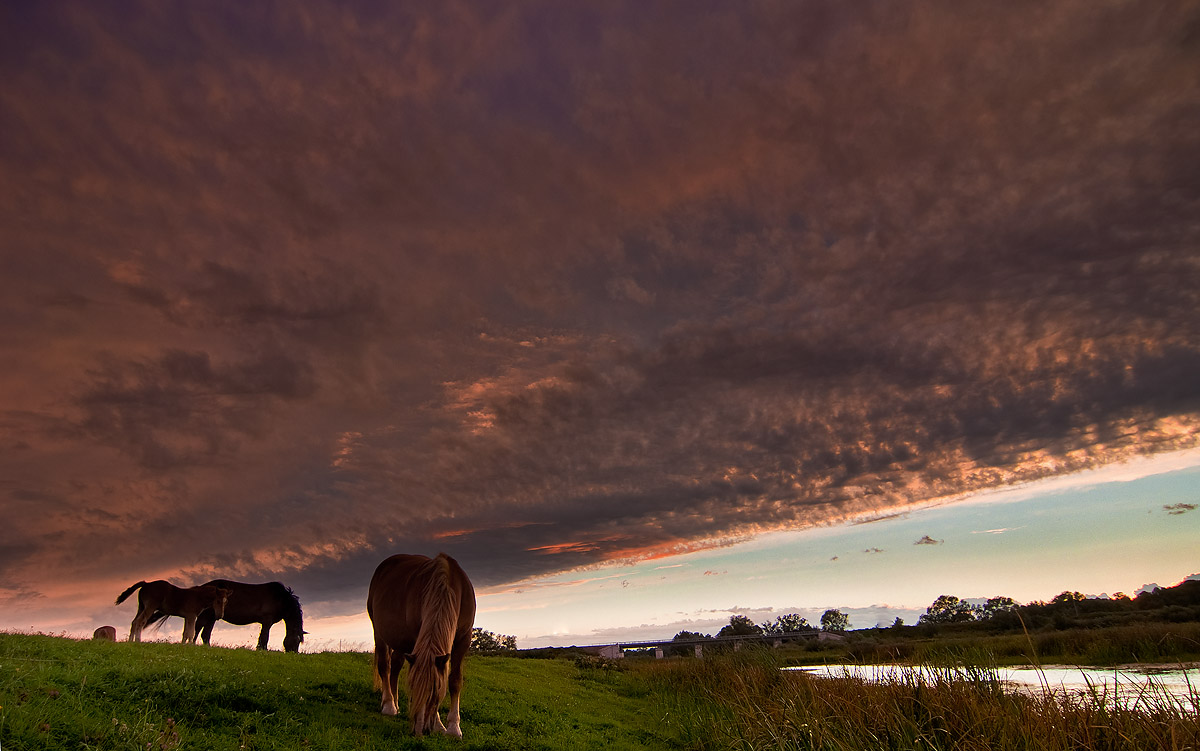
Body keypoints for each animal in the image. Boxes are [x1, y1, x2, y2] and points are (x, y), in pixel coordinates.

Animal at [367, 551, 475, 734]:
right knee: (385, 665)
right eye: (413, 688)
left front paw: (453, 727)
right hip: (379, 631)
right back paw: (389, 705)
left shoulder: (463, 640)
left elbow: (454, 680)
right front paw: (440, 724)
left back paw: (395, 703)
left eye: (435, 691)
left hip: (400, 641)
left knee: (395, 666)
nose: (420, 730)